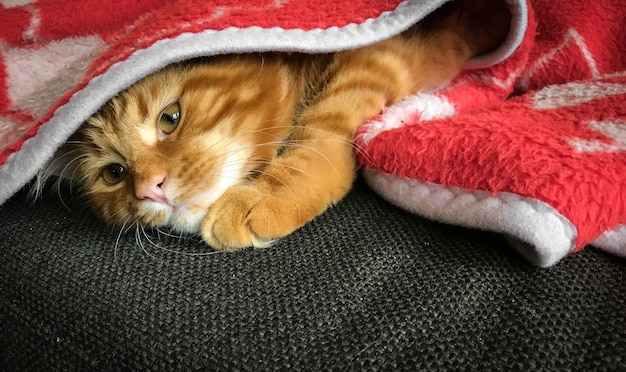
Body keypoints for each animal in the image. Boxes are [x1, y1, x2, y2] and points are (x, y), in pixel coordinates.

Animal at [46, 0, 510, 250]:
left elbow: (318, 131)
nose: (149, 190)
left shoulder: (374, 58)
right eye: (114, 173)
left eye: (169, 118)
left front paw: (269, 195)